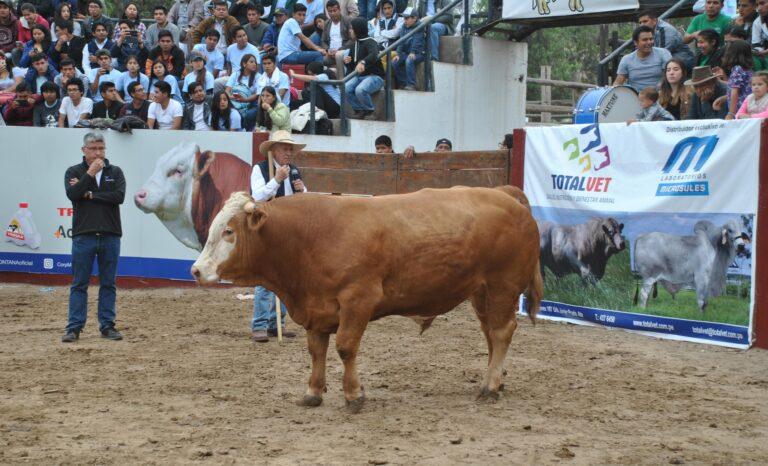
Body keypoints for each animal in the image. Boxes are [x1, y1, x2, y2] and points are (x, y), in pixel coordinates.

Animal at [190, 185, 544, 412]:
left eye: (229, 232)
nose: (196, 270)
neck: (308, 236)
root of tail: (506, 194)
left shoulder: (358, 299)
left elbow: (345, 347)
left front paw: (353, 395)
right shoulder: (316, 307)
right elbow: (316, 350)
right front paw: (313, 391)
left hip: (503, 285)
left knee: (501, 332)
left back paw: (489, 386)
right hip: (481, 292)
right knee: (490, 334)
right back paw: (496, 380)